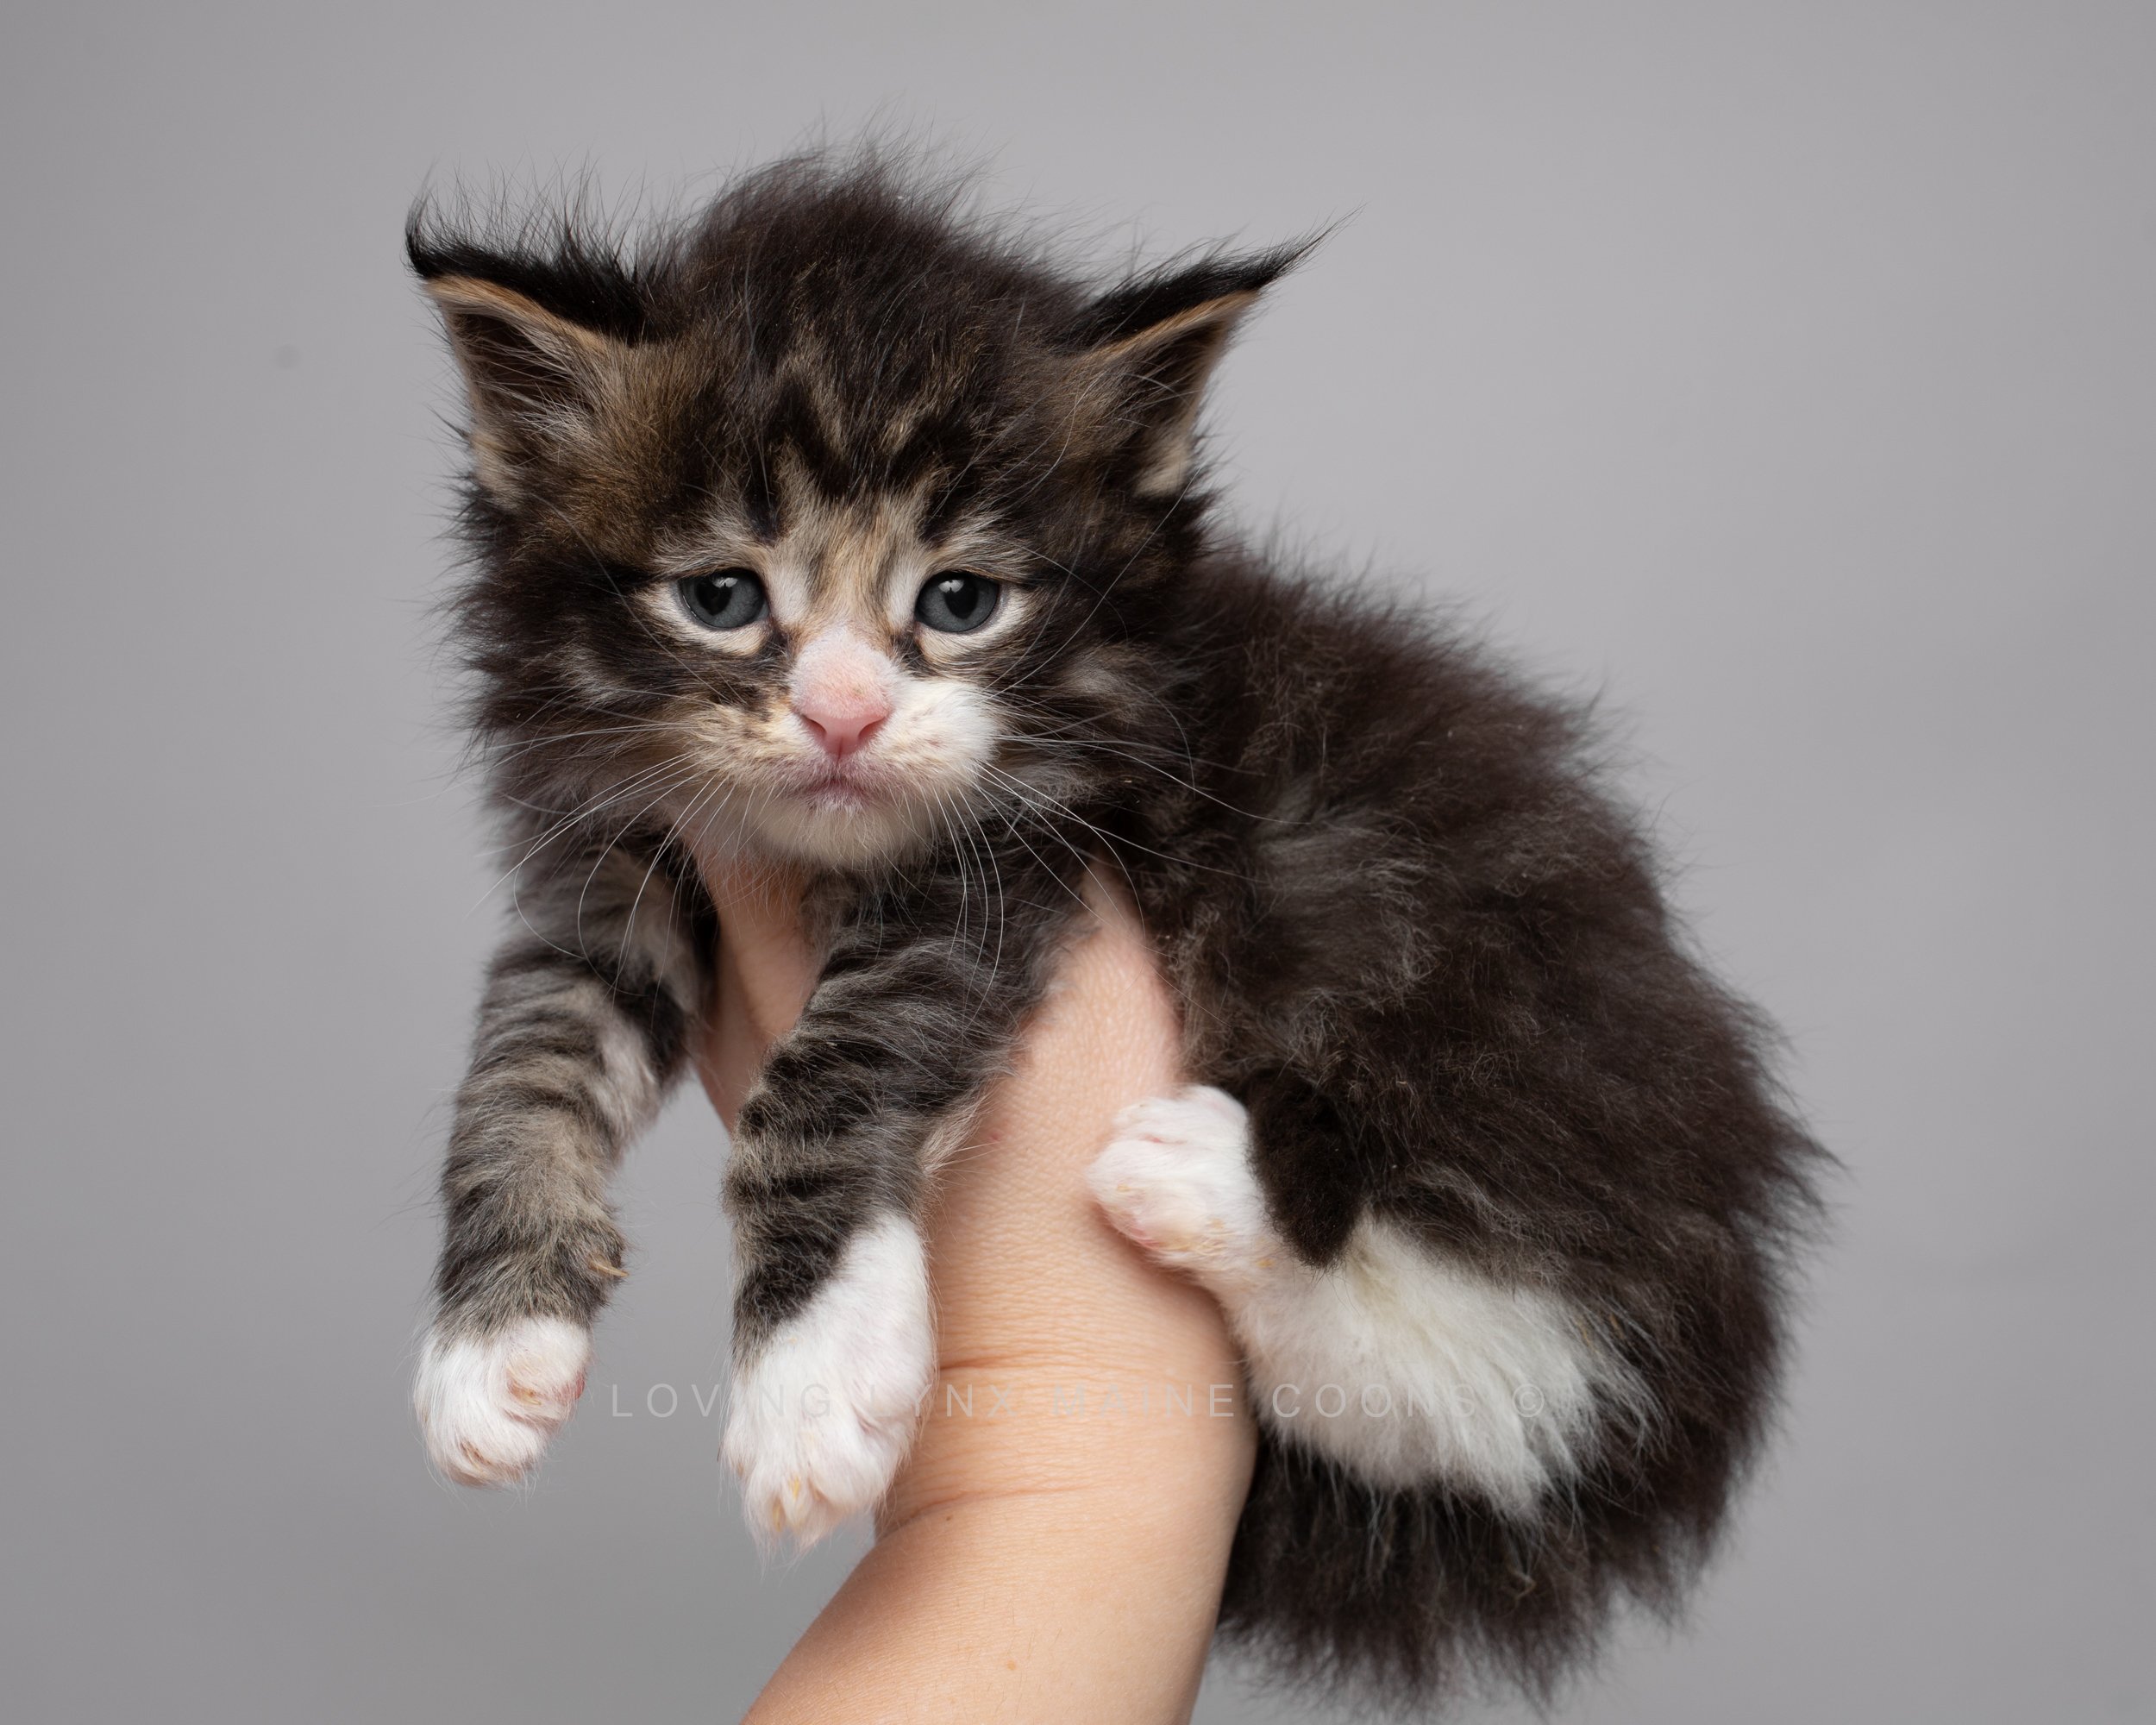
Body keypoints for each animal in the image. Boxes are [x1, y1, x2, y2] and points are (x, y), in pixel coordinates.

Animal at [405, 155, 1820, 1708]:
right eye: (721, 597)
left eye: (959, 601)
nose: (844, 714)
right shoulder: (612, 877)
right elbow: (517, 1067)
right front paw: (490, 1340)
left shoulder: (1018, 862)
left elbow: (828, 1077)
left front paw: (811, 1369)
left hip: (1442, 1012)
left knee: (1532, 1381)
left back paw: (1208, 1188)